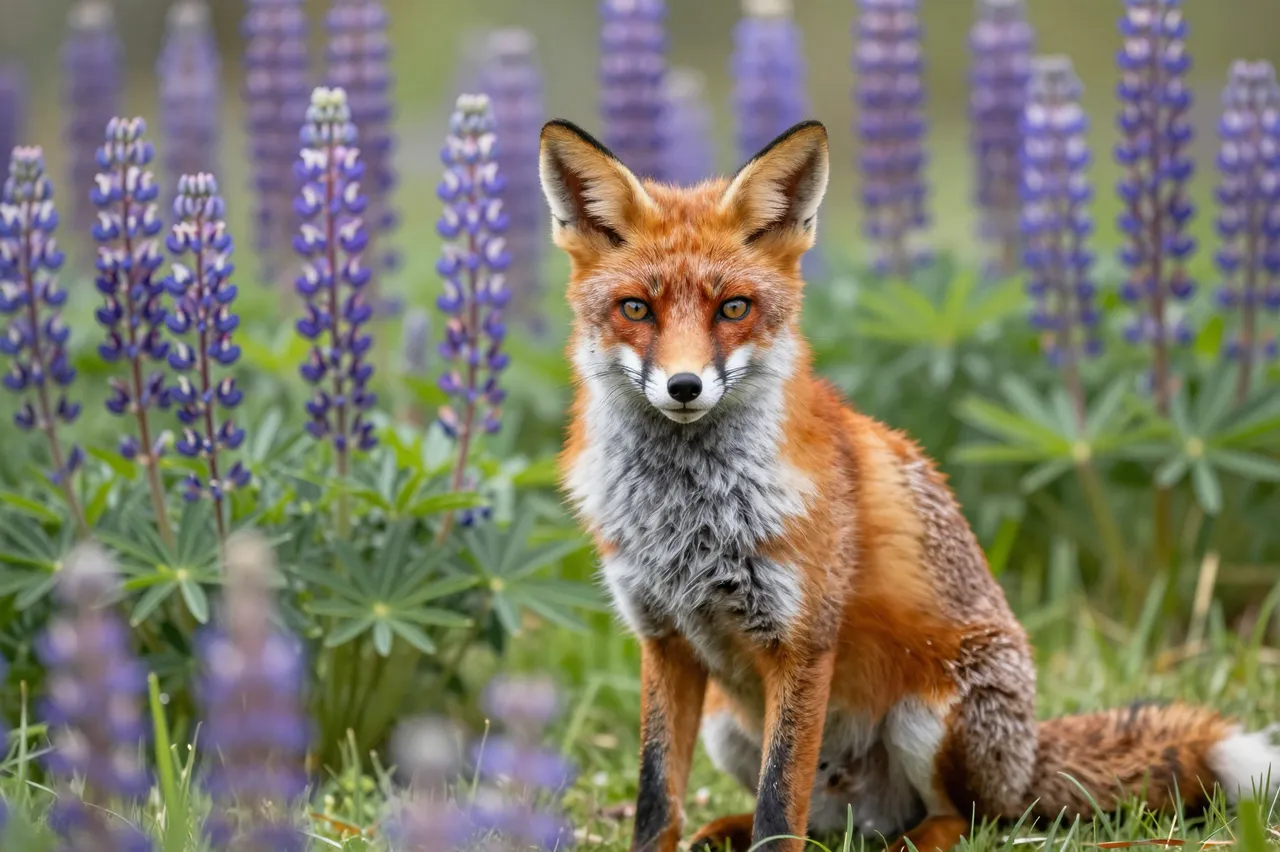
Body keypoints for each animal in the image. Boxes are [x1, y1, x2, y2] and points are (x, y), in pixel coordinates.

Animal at [536, 117, 1280, 852]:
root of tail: (1028, 760)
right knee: (819, 822)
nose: (685, 386)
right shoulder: (663, 640)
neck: (686, 515)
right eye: (636, 309)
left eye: (734, 308)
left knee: (964, 819)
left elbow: (779, 810)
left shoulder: (801, 641)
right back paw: (731, 829)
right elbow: (659, 799)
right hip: (730, 727)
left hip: (934, 713)